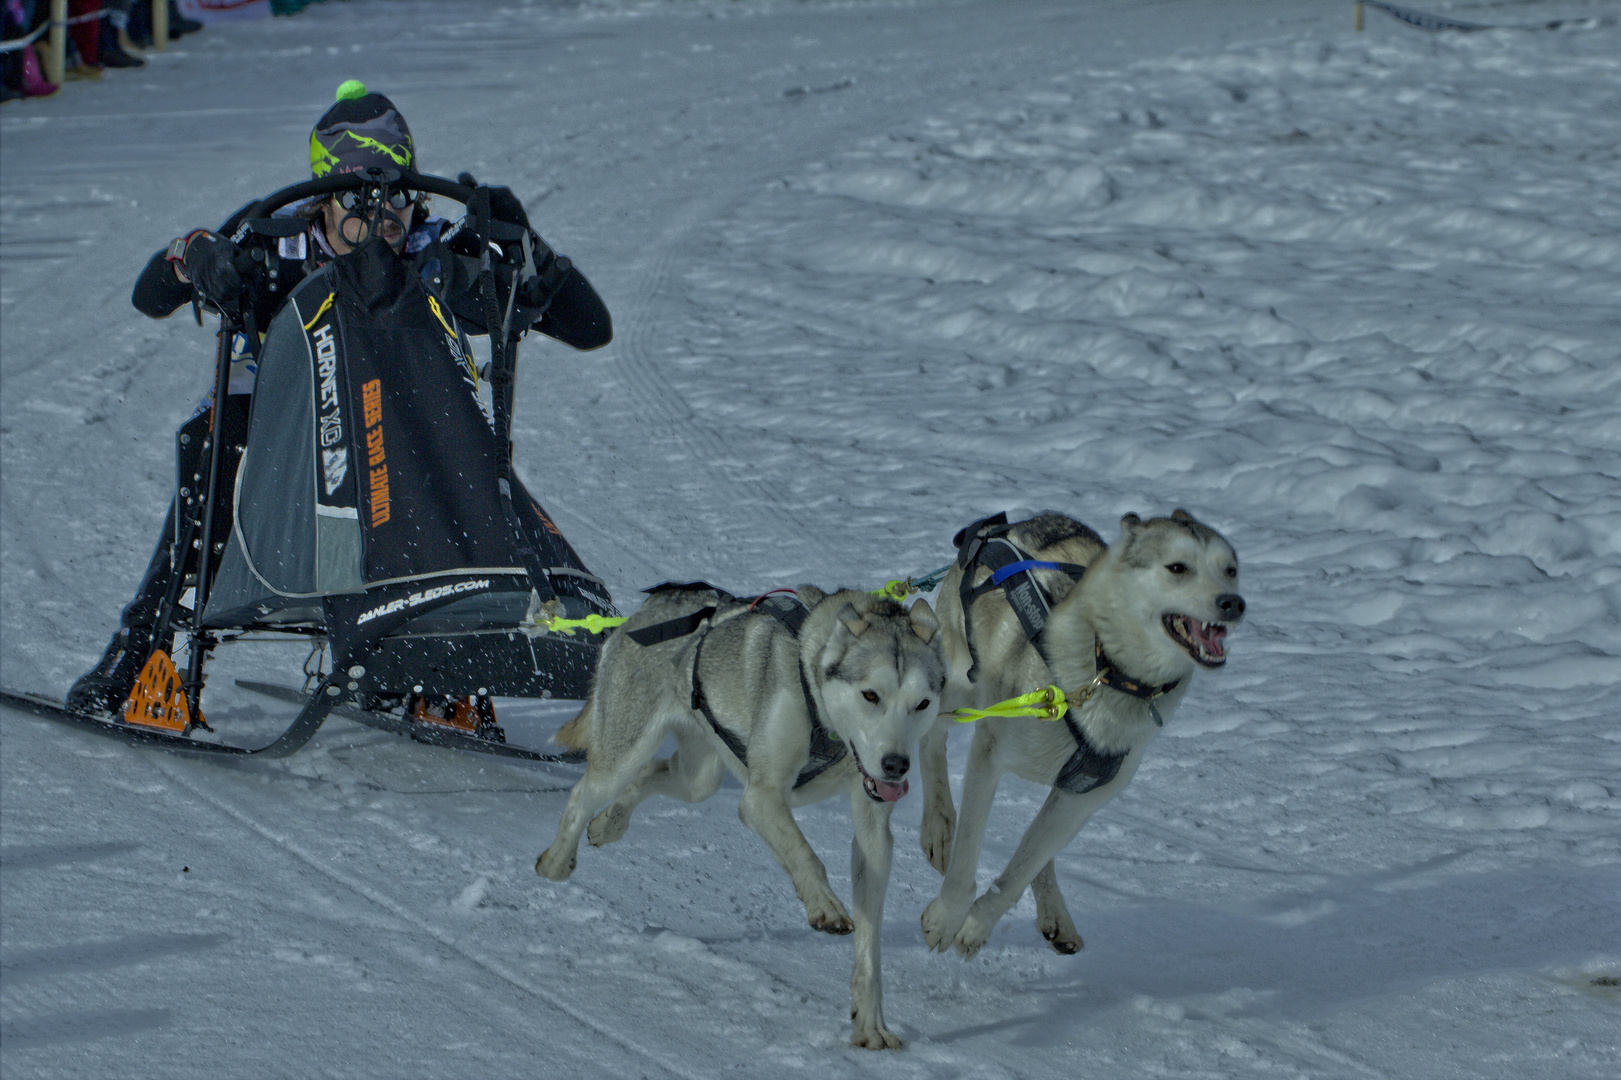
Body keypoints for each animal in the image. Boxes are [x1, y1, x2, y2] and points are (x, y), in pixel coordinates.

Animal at [538, 580, 946, 1044]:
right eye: (871, 695)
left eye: (922, 703)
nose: (896, 765)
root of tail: (647, 609)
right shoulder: (762, 797)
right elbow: (806, 856)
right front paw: (824, 905)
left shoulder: (872, 828)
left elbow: (870, 938)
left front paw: (870, 1022)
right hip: (622, 753)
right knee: (582, 795)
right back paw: (555, 861)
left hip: (698, 777)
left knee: (648, 775)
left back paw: (610, 824)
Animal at [920, 509, 1244, 953]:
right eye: (1178, 568)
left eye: (1231, 570)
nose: (1234, 603)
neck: (1105, 670)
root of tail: (997, 526)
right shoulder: (988, 755)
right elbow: (967, 852)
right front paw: (948, 917)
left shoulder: (1081, 799)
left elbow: (1021, 870)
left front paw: (977, 924)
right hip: (957, 687)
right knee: (931, 738)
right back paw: (937, 824)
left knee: (1039, 849)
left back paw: (1054, 912)